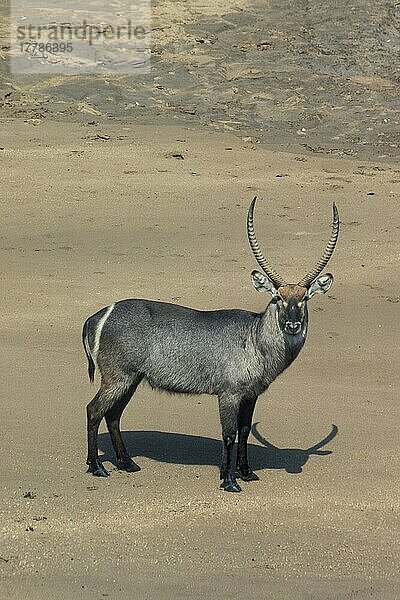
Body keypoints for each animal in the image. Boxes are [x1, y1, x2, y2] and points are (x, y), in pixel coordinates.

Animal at [83, 197, 340, 492]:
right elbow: (229, 434)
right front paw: (229, 480)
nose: (293, 325)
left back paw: (127, 464)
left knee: (113, 416)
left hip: (131, 379)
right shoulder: (228, 393)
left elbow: (244, 430)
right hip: (118, 377)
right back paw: (97, 467)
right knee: (94, 410)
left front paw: (246, 472)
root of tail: (97, 316)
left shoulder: (251, 395)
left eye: (305, 298)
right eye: (277, 297)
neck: (254, 338)